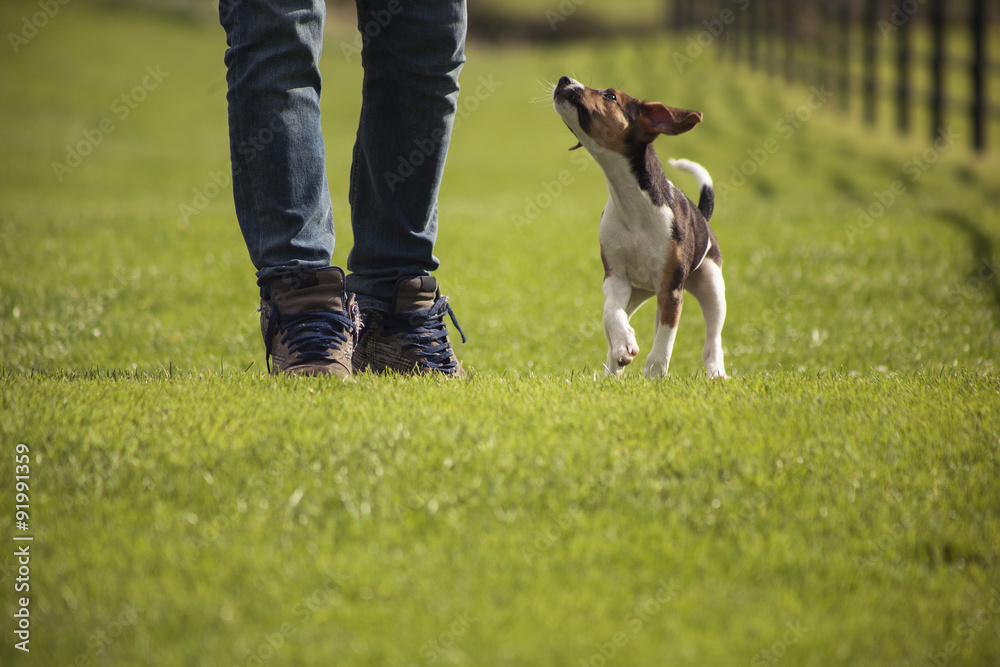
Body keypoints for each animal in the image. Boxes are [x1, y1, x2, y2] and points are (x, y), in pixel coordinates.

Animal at [556, 75, 728, 378]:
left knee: (712, 340)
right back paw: (612, 369)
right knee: (613, 323)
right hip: (639, 292)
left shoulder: (671, 290)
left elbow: (665, 339)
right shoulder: (615, 279)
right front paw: (625, 345)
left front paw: (655, 374)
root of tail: (703, 216)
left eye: (610, 96)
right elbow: (613, 315)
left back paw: (716, 372)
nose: (564, 79)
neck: (631, 203)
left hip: (711, 286)